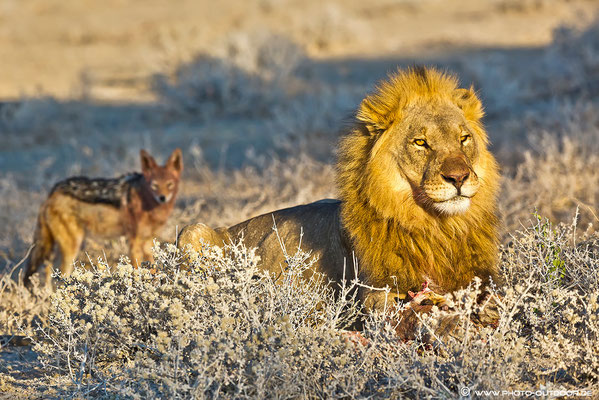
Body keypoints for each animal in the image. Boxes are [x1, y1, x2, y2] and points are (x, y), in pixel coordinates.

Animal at [179, 67, 502, 314]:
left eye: (464, 139)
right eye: (420, 142)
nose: (458, 177)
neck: (438, 226)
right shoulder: (374, 292)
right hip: (192, 230)